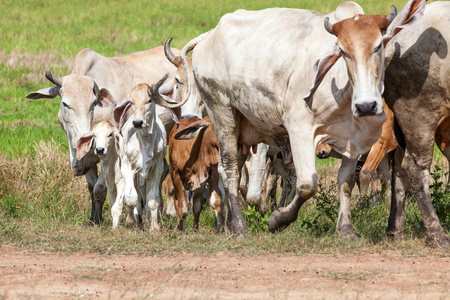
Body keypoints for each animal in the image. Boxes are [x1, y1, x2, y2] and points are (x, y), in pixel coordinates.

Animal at [152, 1, 426, 238]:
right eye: (342, 51)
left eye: (379, 45)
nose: (367, 105)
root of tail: (210, 36)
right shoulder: (299, 130)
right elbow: (306, 185)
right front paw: (277, 220)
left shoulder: (354, 139)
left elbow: (346, 181)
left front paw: (346, 229)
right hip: (222, 112)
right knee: (229, 169)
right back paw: (239, 227)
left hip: (243, 127)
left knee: (237, 170)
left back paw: (230, 223)